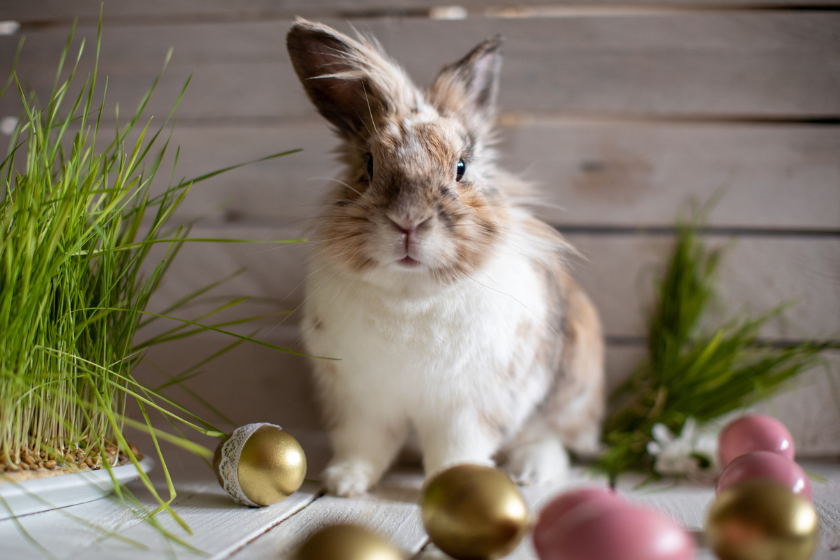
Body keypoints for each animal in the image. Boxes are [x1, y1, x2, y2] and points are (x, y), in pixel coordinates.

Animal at [287, 18, 605, 497]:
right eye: (369, 166)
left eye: (461, 168)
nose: (408, 222)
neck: (410, 293)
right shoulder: (361, 403)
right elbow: (364, 445)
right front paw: (345, 483)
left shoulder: (469, 409)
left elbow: (458, 449)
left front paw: (460, 486)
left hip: (571, 391)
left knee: (551, 438)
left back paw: (531, 472)